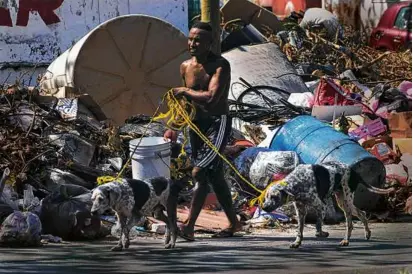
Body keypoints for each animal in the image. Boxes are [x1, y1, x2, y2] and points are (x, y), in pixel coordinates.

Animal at [260, 162, 392, 249]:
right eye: (266, 197)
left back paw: (346, 240)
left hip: (346, 202)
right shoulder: (300, 211)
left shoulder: (321, 207)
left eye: (274, 197)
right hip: (342, 202)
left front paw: (323, 234)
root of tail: (353, 171)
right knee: (362, 213)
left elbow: (318, 228)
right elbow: (299, 230)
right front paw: (297, 242)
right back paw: (366, 233)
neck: (297, 182)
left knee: (350, 222)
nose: (264, 207)